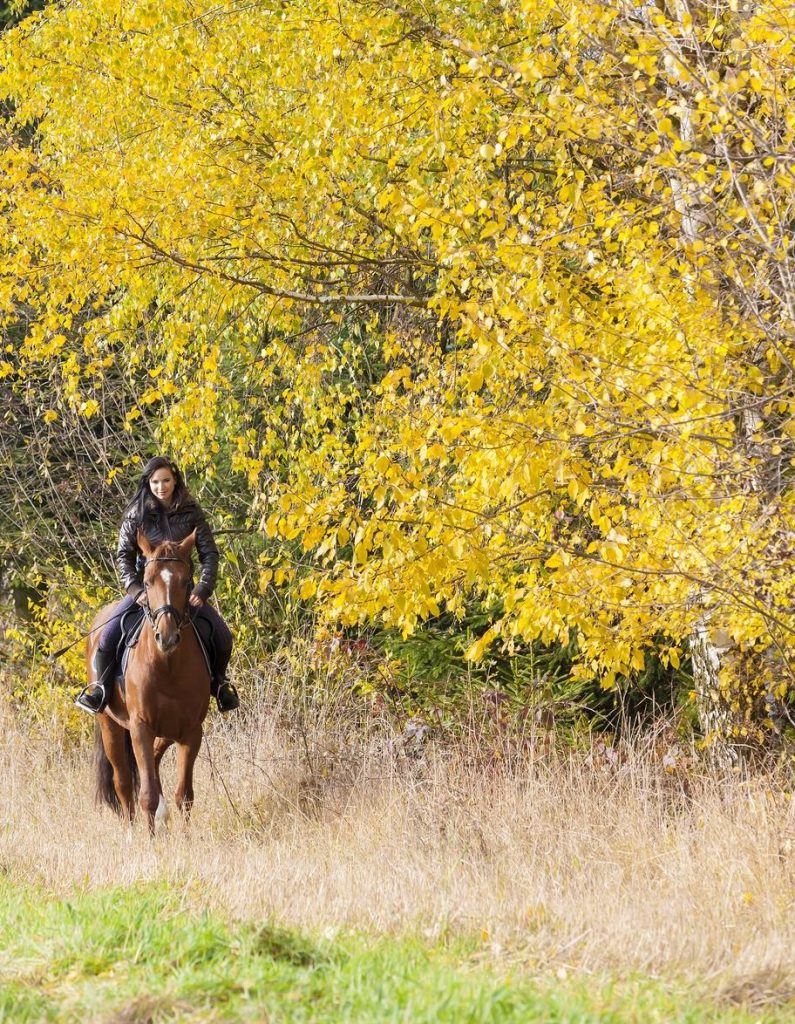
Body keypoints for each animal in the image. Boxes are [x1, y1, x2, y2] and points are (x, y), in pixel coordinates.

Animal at [87, 528, 211, 831]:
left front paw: (187, 838)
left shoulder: (191, 731)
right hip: (110, 725)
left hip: (165, 730)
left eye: (186, 582)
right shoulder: (140, 728)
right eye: (146, 581)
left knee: (153, 763)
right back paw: (131, 831)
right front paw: (150, 839)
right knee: (122, 782)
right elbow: (146, 795)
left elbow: (184, 795)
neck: (168, 667)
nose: (166, 637)